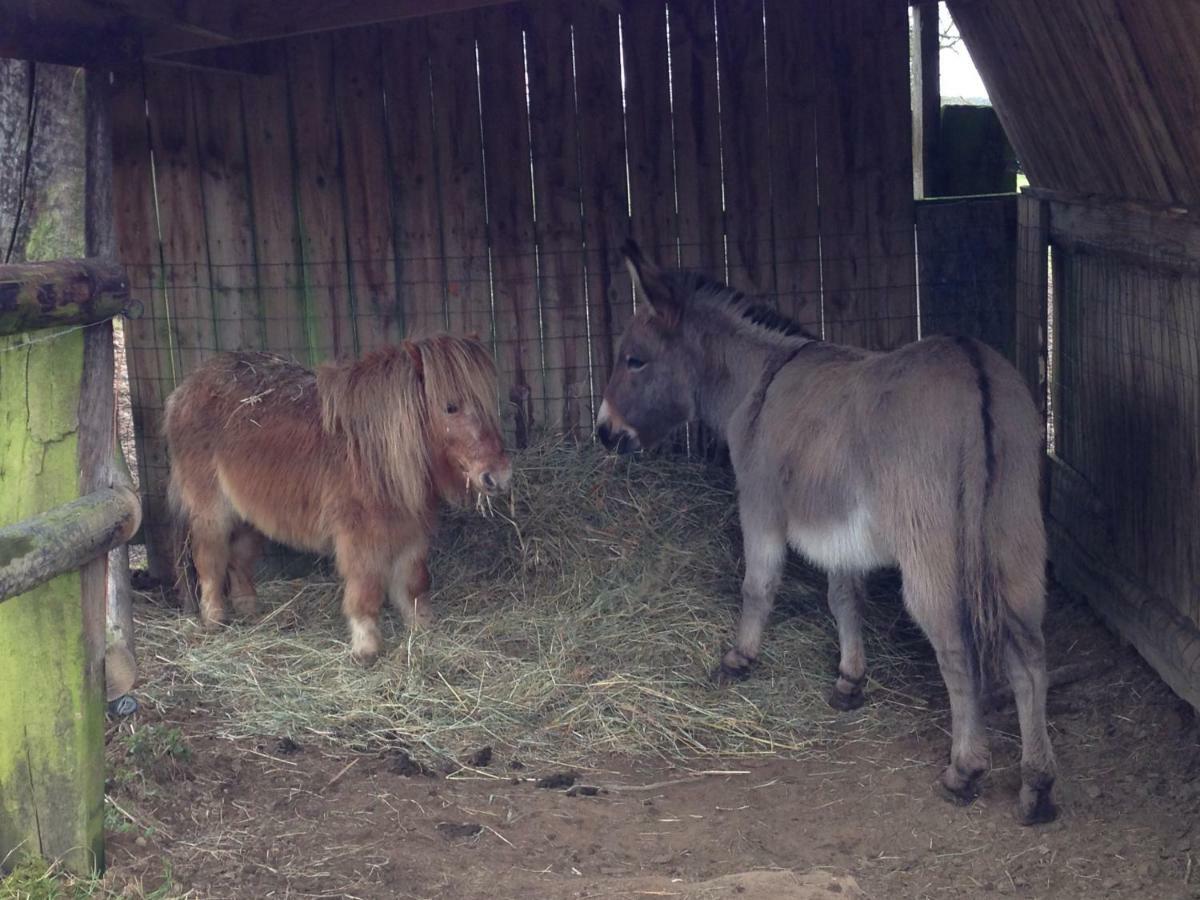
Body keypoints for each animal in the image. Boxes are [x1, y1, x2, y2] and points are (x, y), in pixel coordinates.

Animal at [164, 336, 511, 667]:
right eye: (450, 407)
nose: (499, 476)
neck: (374, 451)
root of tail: (185, 389)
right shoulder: (360, 539)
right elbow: (365, 592)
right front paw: (366, 648)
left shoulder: (411, 533)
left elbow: (414, 585)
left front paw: (423, 631)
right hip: (212, 512)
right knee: (210, 562)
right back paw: (214, 620)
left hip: (249, 515)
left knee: (239, 560)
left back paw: (250, 611)